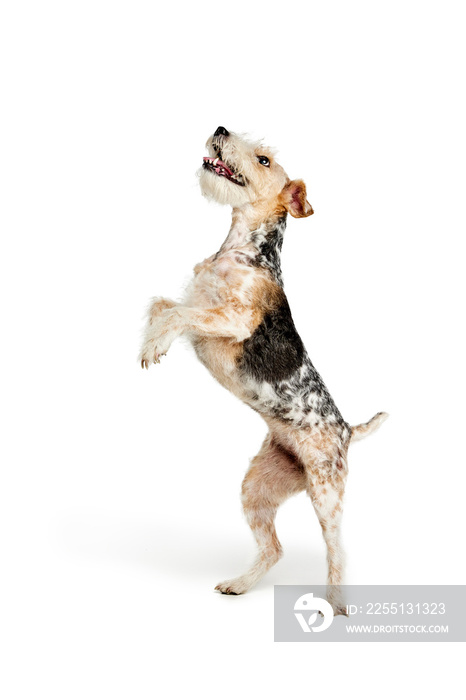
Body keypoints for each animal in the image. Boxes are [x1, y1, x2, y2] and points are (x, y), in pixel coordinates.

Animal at [140, 127, 388, 616]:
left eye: (264, 160)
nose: (220, 130)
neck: (242, 248)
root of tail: (348, 430)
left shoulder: (232, 319)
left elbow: (177, 314)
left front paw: (156, 343)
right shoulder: (197, 301)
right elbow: (162, 306)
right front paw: (148, 345)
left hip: (326, 494)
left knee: (337, 552)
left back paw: (336, 605)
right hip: (257, 486)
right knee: (273, 549)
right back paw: (238, 584)